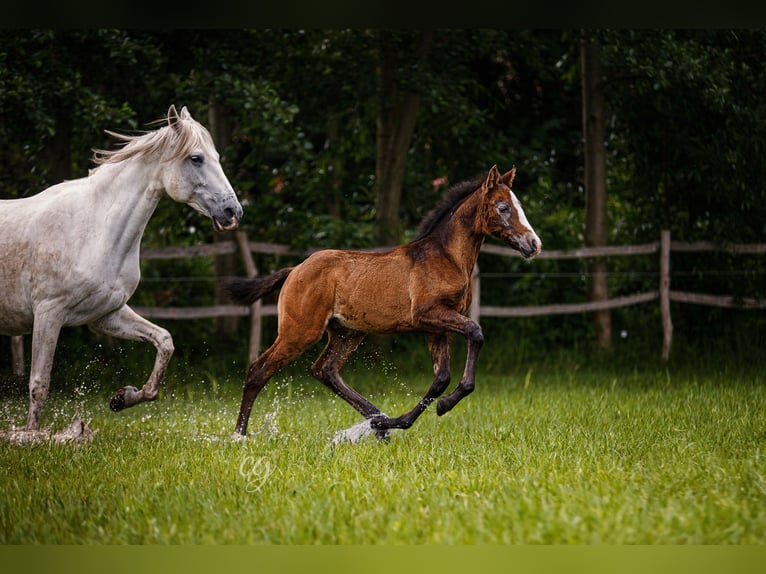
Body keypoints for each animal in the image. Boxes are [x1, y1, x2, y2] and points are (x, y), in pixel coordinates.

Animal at [0, 106, 243, 430]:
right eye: (196, 158)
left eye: (216, 156)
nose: (233, 212)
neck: (94, 228)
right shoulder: (48, 313)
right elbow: (39, 384)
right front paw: (30, 435)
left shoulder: (106, 314)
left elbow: (164, 342)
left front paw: (122, 398)